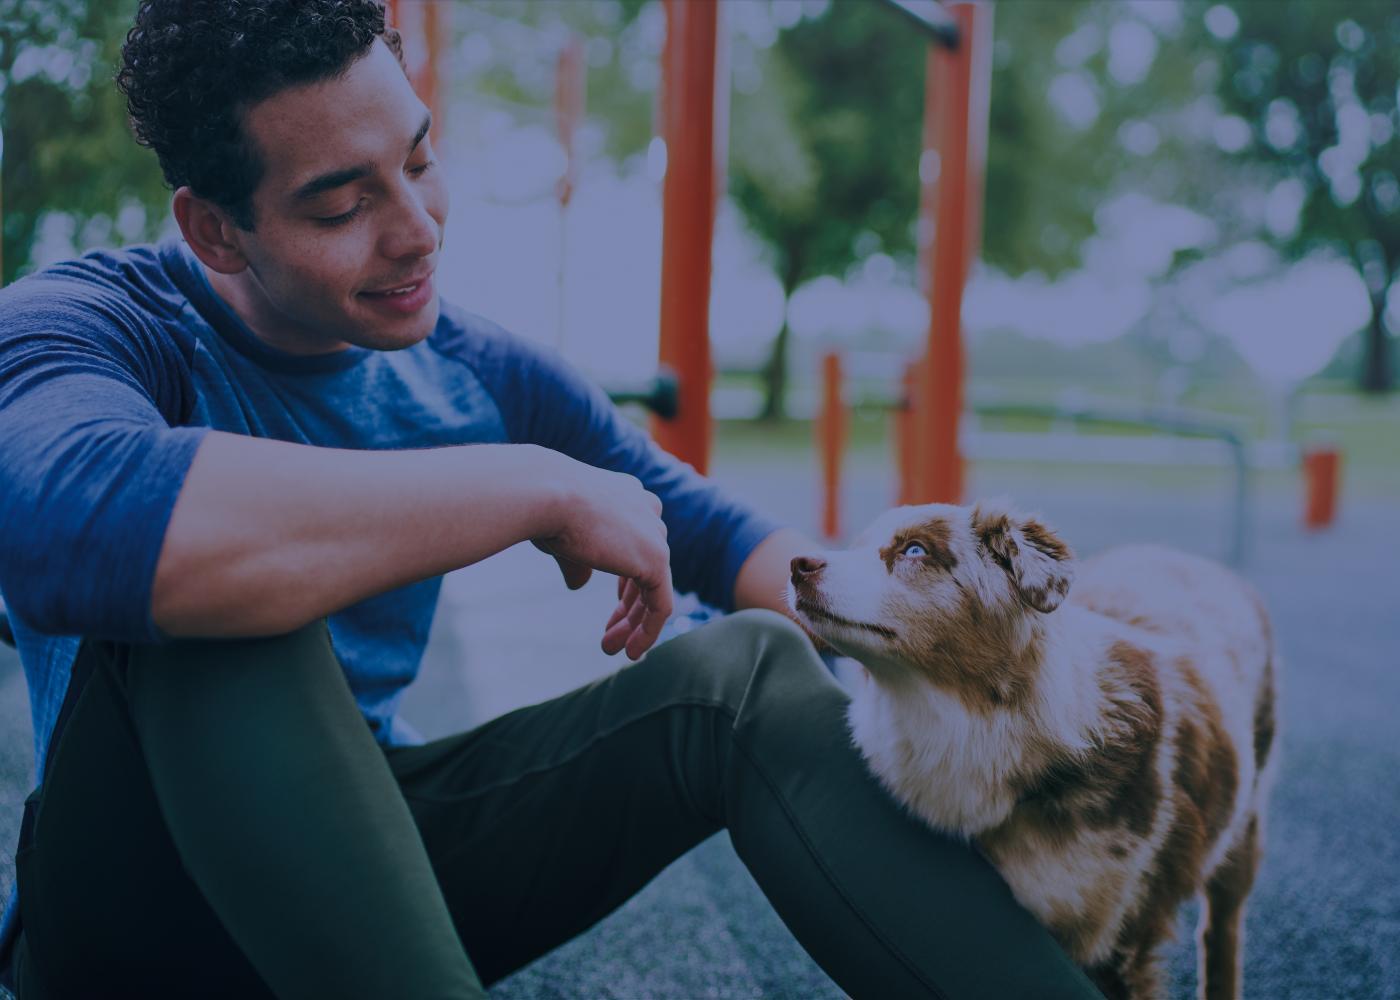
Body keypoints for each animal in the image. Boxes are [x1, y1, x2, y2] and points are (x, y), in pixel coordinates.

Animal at [789, 498, 1282, 997]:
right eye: (856, 545)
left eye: (914, 550)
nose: (798, 564)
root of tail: (1187, 557)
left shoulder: (1116, 937)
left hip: (1244, 823)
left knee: (1222, 928)